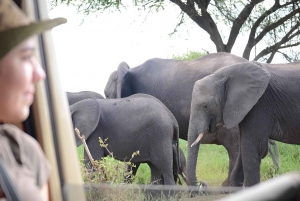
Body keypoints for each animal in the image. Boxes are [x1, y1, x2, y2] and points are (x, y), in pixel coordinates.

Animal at [188, 58, 300, 187]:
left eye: (205, 107)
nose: (201, 183)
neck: (223, 75)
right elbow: (244, 147)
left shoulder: (259, 105)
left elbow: (252, 147)